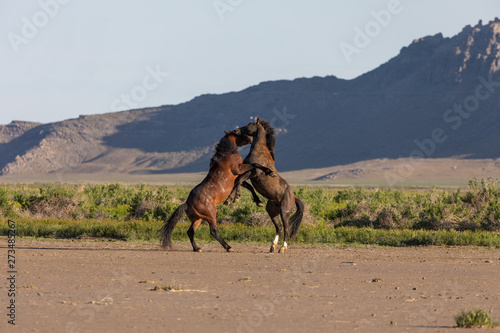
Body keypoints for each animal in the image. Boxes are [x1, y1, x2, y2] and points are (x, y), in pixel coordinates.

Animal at [228, 118, 304, 253]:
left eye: (249, 124)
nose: (235, 130)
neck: (259, 151)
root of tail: (294, 197)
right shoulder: (247, 172)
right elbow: (242, 183)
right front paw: (253, 201)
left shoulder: (253, 172)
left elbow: (240, 180)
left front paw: (235, 198)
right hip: (272, 211)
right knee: (278, 227)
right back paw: (272, 247)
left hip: (284, 212)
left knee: (286, 228)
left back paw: (282, 248)